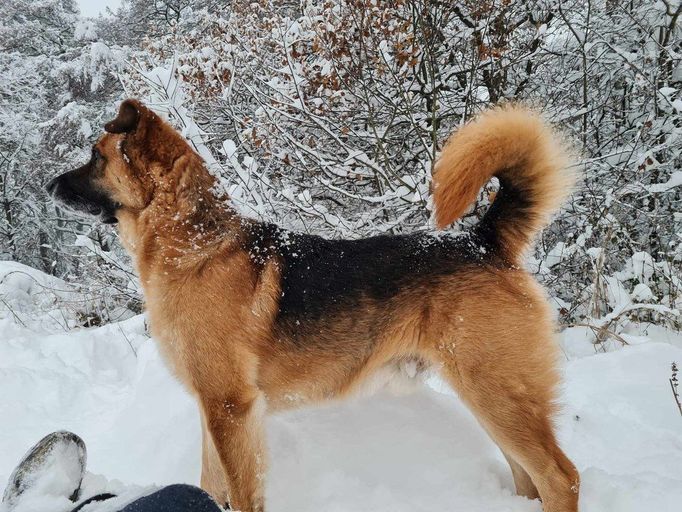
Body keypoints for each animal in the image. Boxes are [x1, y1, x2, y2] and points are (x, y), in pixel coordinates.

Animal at [47, 100, 580, 512]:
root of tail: (482, 241)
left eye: (95, 156)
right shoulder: (212, 409)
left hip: (497, 394)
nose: (49, 185)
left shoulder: (231, 409)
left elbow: (243, 494)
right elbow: (209, 485)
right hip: (494, 401)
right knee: (530, 479)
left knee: (561, 478)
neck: (194, 245)